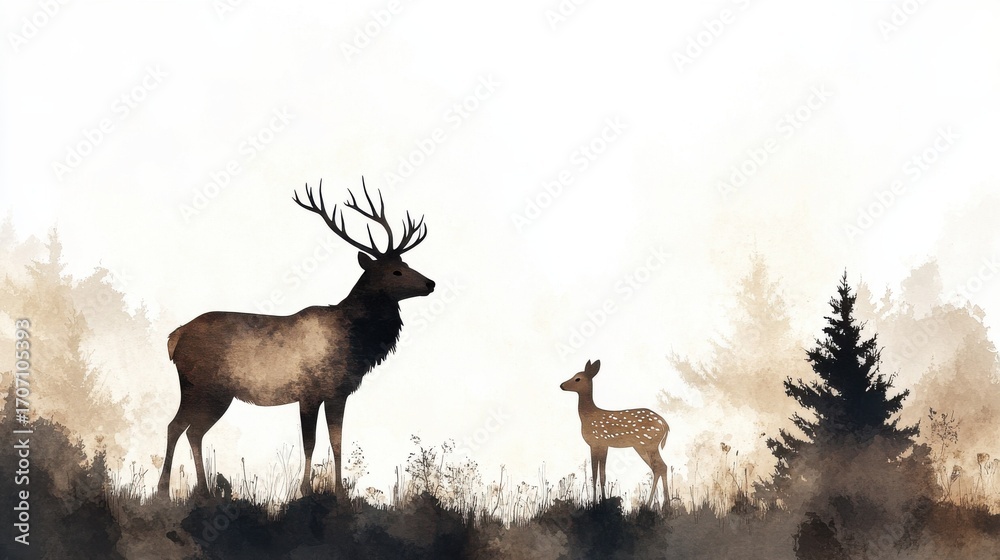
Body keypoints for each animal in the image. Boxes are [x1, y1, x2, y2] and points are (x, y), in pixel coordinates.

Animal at [157, 178, 435, 498]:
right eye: (396, 271)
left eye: (407, 263)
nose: (431, 283)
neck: (354, 343)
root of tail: (175, 338)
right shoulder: (309, 392)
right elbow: (310, 443)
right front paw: (305, 490)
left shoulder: (338, 392)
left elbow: (337, 442)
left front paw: (339, 492)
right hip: (203, 387)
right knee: (178, 427)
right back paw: (164, 491)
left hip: (210, 392)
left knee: (191, 430)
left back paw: (202, 491)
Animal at [560, 359, 670, 507]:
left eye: (577, 378)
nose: (561, 385)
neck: (588, 416)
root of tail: (665, 425)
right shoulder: (602, 445)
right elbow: (601, 475)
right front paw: (601, 501)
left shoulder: (597, 442)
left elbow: (597, 474)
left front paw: (596, 503)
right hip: (642, 447)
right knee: (658, 467)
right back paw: (662, 504)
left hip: (649, 444)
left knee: (660, 467)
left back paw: (656, 504)